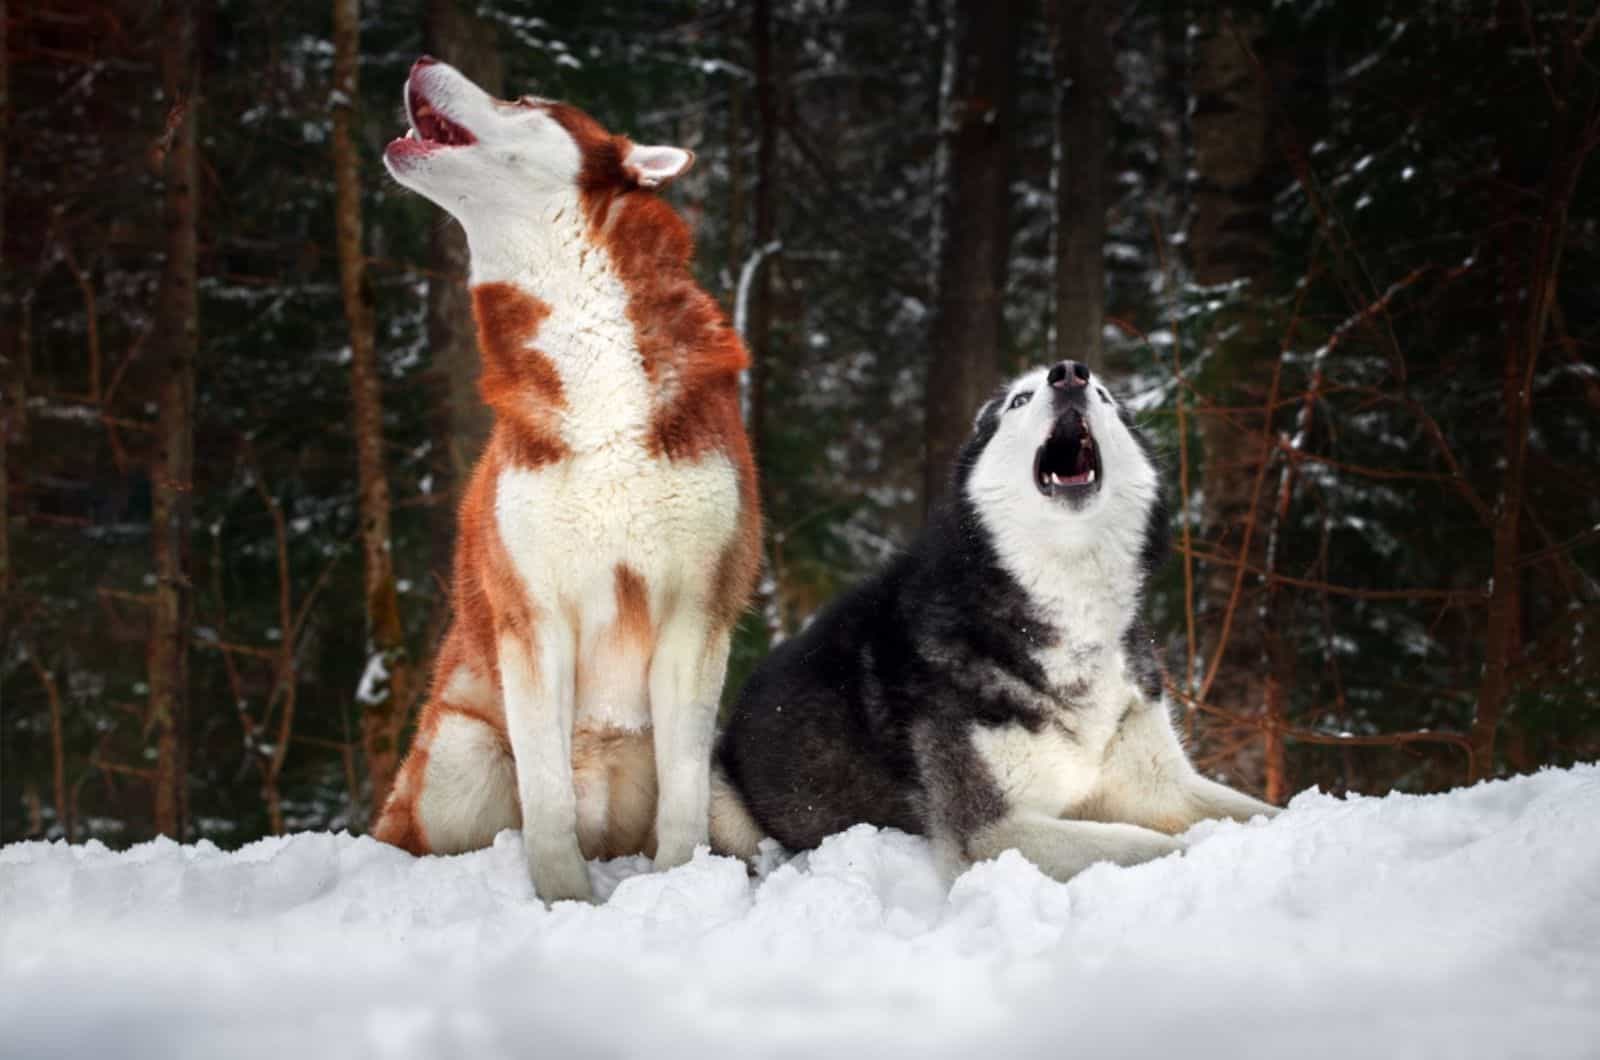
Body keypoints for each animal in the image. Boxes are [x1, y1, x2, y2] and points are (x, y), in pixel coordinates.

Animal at [380, 60, 768, 903]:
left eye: (525, 99)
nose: (417, 62)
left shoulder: (697, 609)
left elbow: (682, 802)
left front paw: (676, 889)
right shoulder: (532, 616)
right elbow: (548, 797)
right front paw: (565, 902)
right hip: (460, 753)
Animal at [713, 361, 1273, 883]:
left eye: (1104, 395)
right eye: (1019, 400)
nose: (1070, 373)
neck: (1069, 604)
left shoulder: (1160, 785)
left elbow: (1263, 812)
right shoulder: (992, 832)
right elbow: (1154, 847)